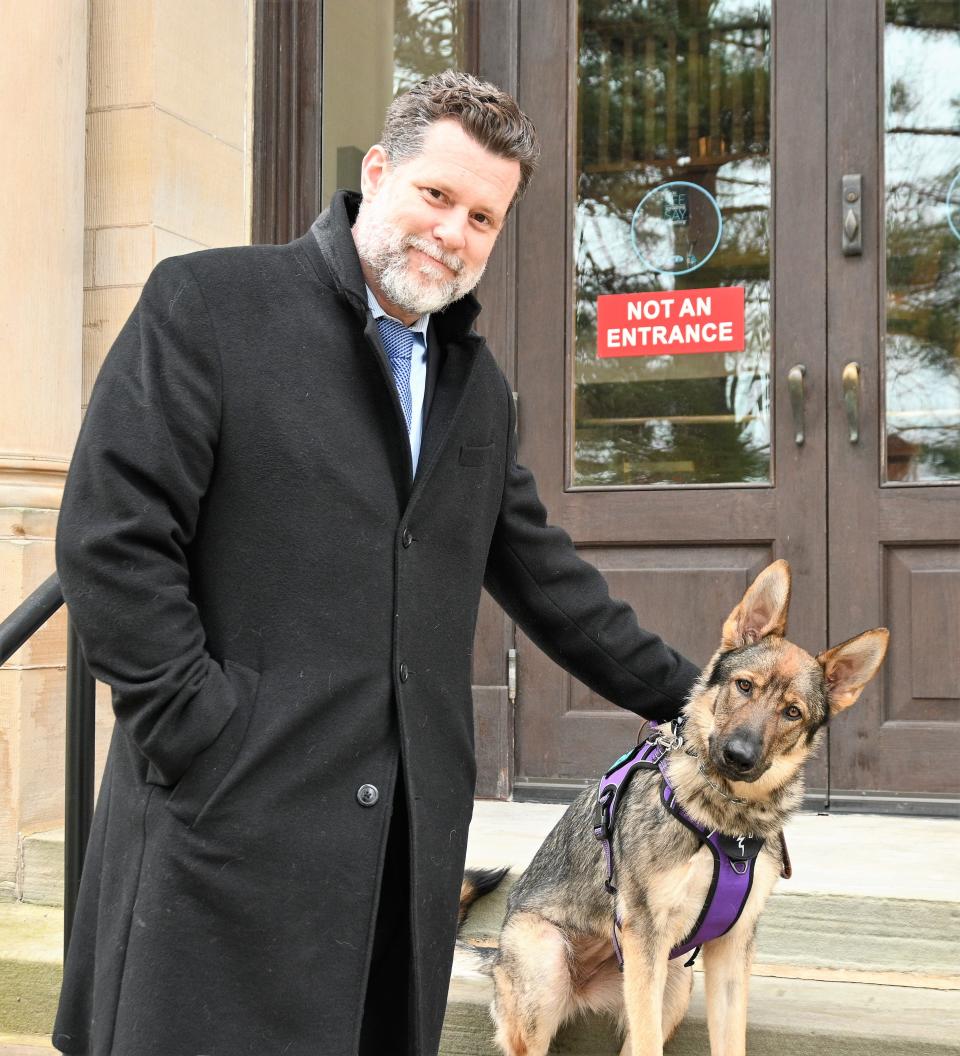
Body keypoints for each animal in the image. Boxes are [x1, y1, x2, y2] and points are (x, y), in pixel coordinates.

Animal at [462, 566, 882, 1056]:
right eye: (744, 686)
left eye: (792, 712)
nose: (738, 756)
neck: (728, 821)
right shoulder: (645, 937)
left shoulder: (730, 952)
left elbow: (730, 1041)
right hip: (549, 968)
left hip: (675, 983)